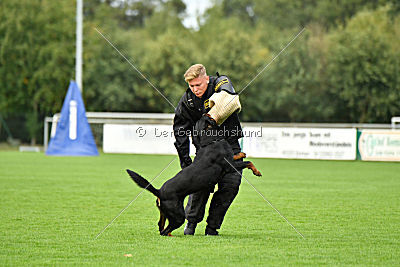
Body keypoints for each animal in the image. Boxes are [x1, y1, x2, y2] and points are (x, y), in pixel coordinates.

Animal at [126, 115, 262, 237]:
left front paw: (241, 153)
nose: (206, 112)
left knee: (161, 227)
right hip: (178, 215)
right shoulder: (230, 166)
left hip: (164, 213)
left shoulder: (231, 161)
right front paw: (257, 172)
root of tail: (159, 191)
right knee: (165, 230)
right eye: (209, 118)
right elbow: (248, 162)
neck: (211, 141)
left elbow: (237, 155)